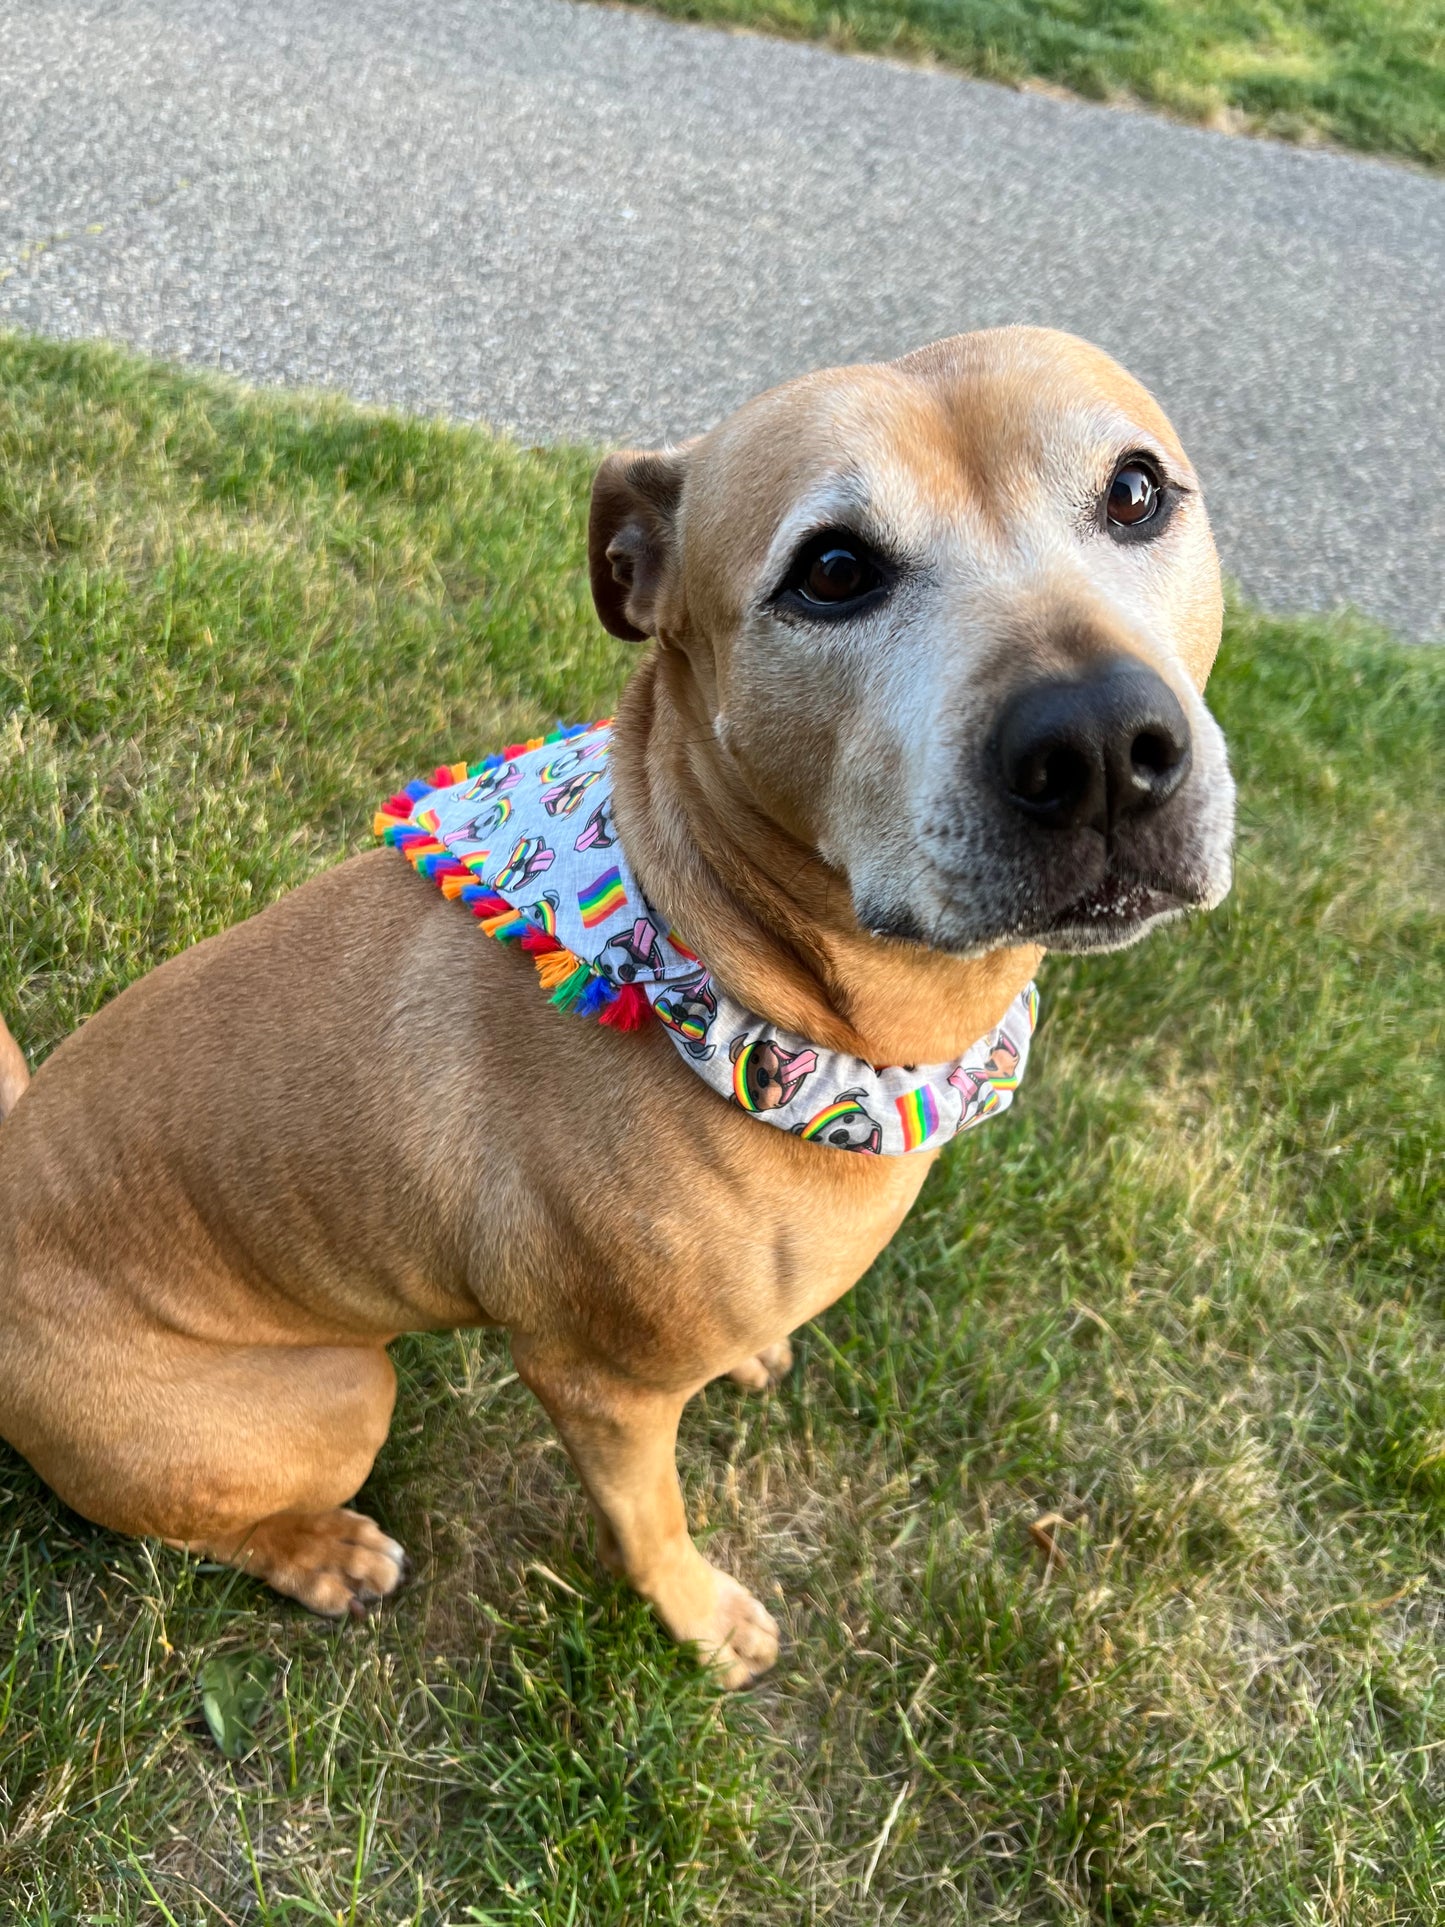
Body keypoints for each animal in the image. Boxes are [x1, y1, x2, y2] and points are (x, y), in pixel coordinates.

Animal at [0, 331, 1233, 1688]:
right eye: (832, 571)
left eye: (1133, 491)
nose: (1103, 743)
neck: (730, 963)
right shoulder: (600, 1387)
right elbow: (651, 1518)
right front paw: (699, 1619)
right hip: (336, 1392)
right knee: (203, 1519)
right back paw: (321, 1552)